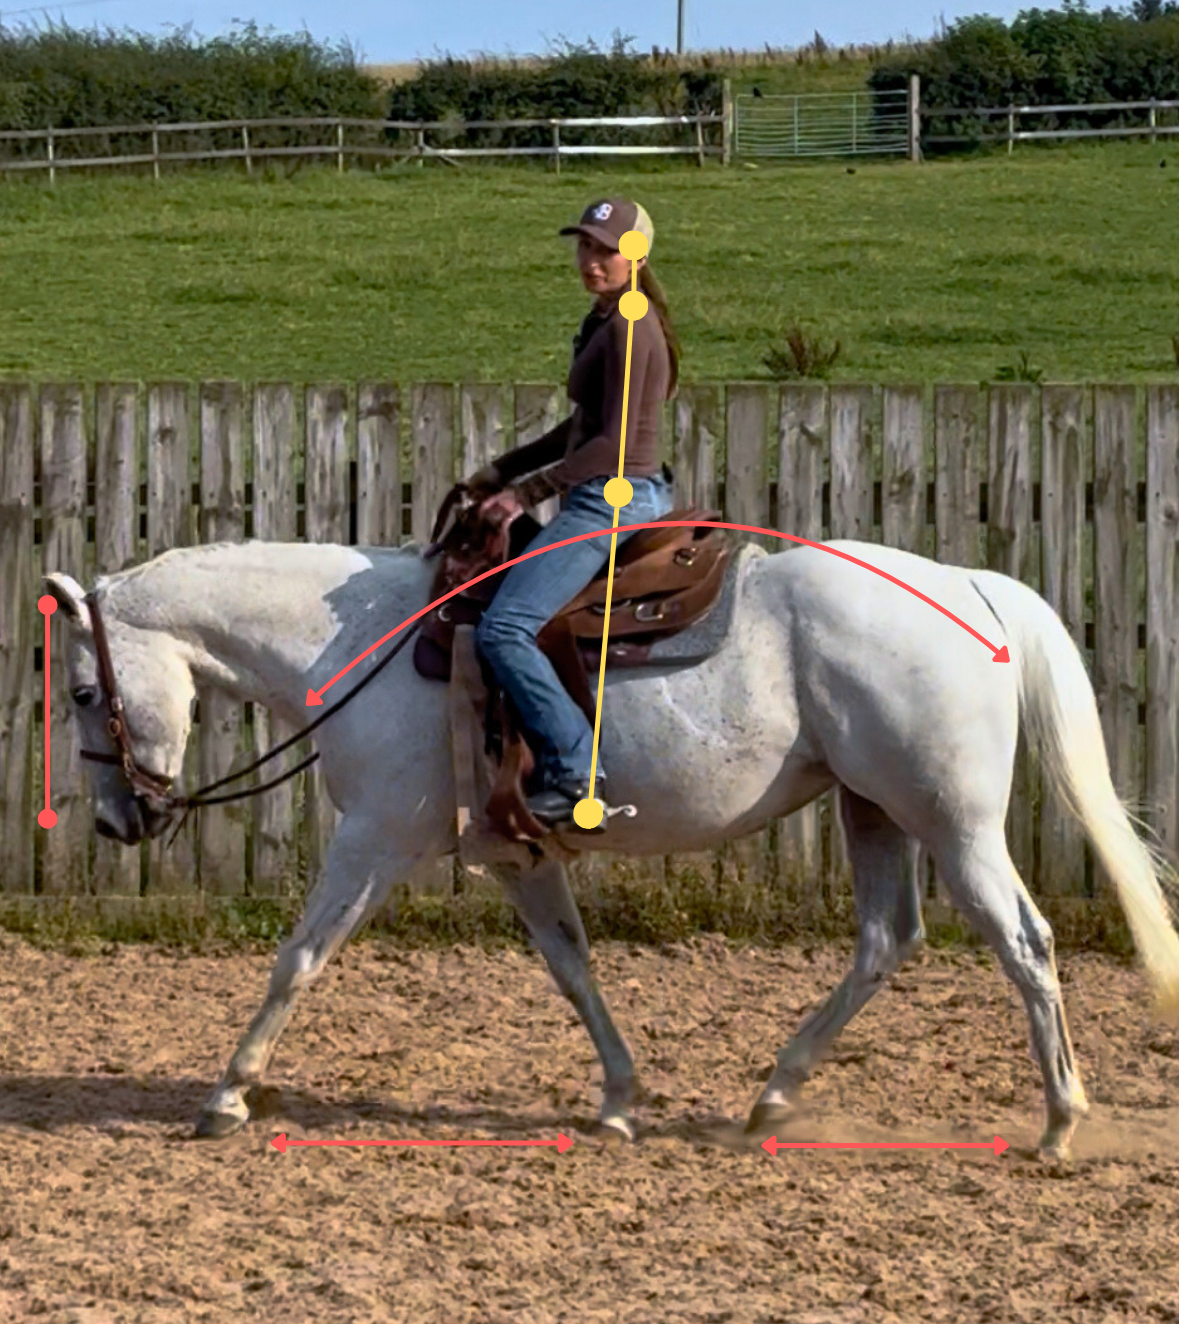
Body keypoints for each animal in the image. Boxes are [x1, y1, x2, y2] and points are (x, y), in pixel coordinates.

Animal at [42, 531, 1179, 1162]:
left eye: (86, 691)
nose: (117, 820)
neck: (362, 641)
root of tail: (971, 585)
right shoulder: (519, 859)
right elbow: (575, 970)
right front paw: (622, 1103)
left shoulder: (374, 842)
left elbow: (298, 959)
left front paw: (226, 1093)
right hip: (875, 813)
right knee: (884, 940)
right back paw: (771, 1096)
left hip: (953, 823)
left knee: (1023, 943)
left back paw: (1060, 1121)